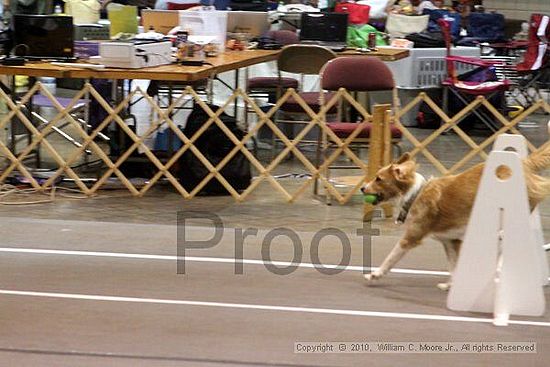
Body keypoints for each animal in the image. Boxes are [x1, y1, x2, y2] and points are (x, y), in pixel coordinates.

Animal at [360, 147, 550, 290]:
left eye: (379, 179)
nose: (362, 188)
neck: (415, 194)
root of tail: (525, 162)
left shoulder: (412, 237)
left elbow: (390, 258)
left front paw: (374, 274)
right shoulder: (450, 241)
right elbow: (453, 266)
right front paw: (449, 285)